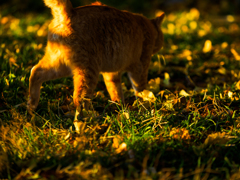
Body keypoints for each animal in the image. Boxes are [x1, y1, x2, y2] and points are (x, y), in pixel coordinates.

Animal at [27, 0, 164, 119]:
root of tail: (69, 12)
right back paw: (91, 117)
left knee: (35, 72)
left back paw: (31, 106)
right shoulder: (141, 66)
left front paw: (120, 106)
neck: (147, 27)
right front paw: (145, 105)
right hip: (88, 71)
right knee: (79, 98)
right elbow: (141, 90)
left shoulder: (111, 72)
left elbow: (115, 90)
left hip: (59, 65)